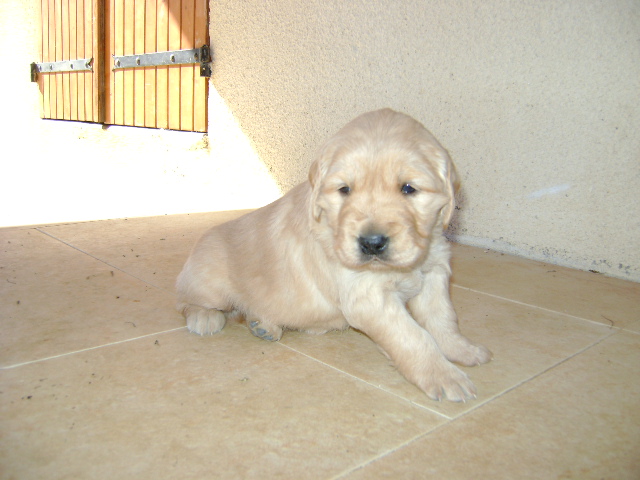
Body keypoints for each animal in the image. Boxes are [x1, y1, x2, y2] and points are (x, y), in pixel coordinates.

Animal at [178, 108, 492, 402]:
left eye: (408, 188)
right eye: (345, 189)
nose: (372, 243)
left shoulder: (434, 272)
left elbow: (442, 318)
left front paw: (462, 349)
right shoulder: (368, 297)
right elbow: (414, 336)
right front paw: (445, 376)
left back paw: (264, 325)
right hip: (210, 281)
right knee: (187, 302)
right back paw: (206, 319)